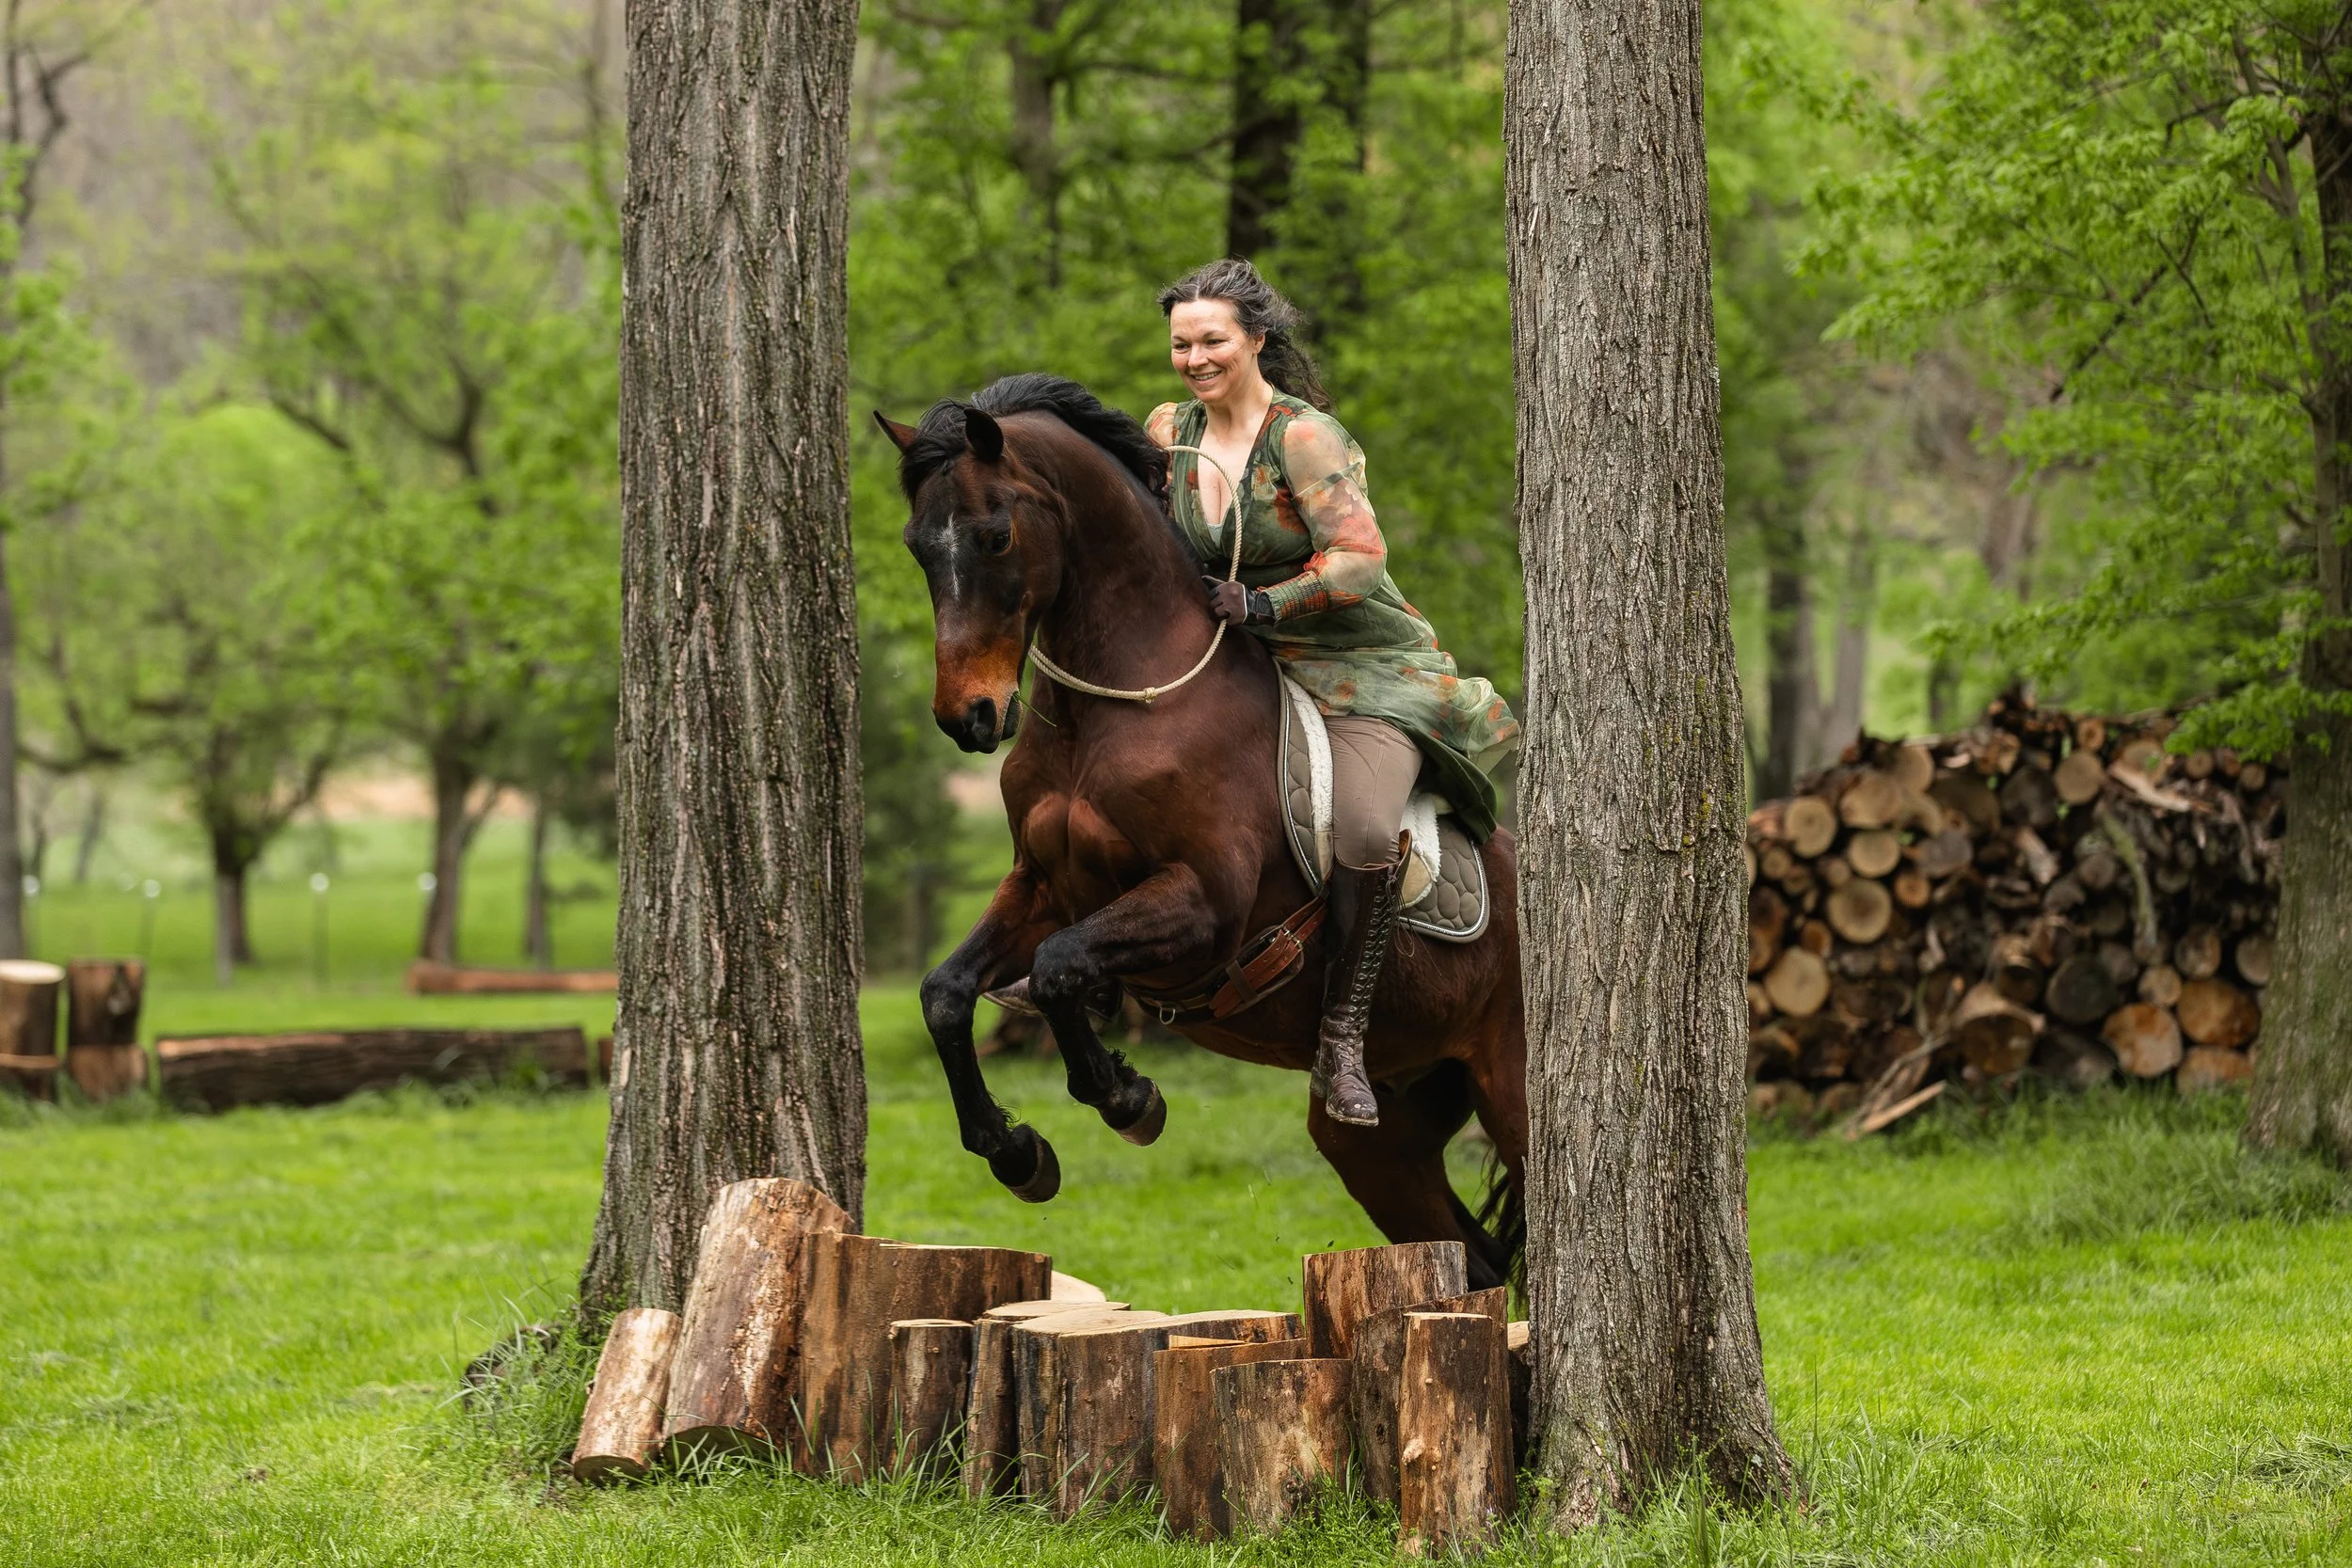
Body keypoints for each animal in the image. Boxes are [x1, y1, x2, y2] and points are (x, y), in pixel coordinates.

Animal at [875, 373, 1529, 1290]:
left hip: (1515, 1092)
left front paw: (1125, 1098)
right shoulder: (1042, 886)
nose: (967, 716)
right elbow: (948, 991)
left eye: (994, 535)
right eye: (917, 546)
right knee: (1473, 1258)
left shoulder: (1204, 906)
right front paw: (1018, 1151)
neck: (1121, 703)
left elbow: (1060, 967)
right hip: (1385, 1139)